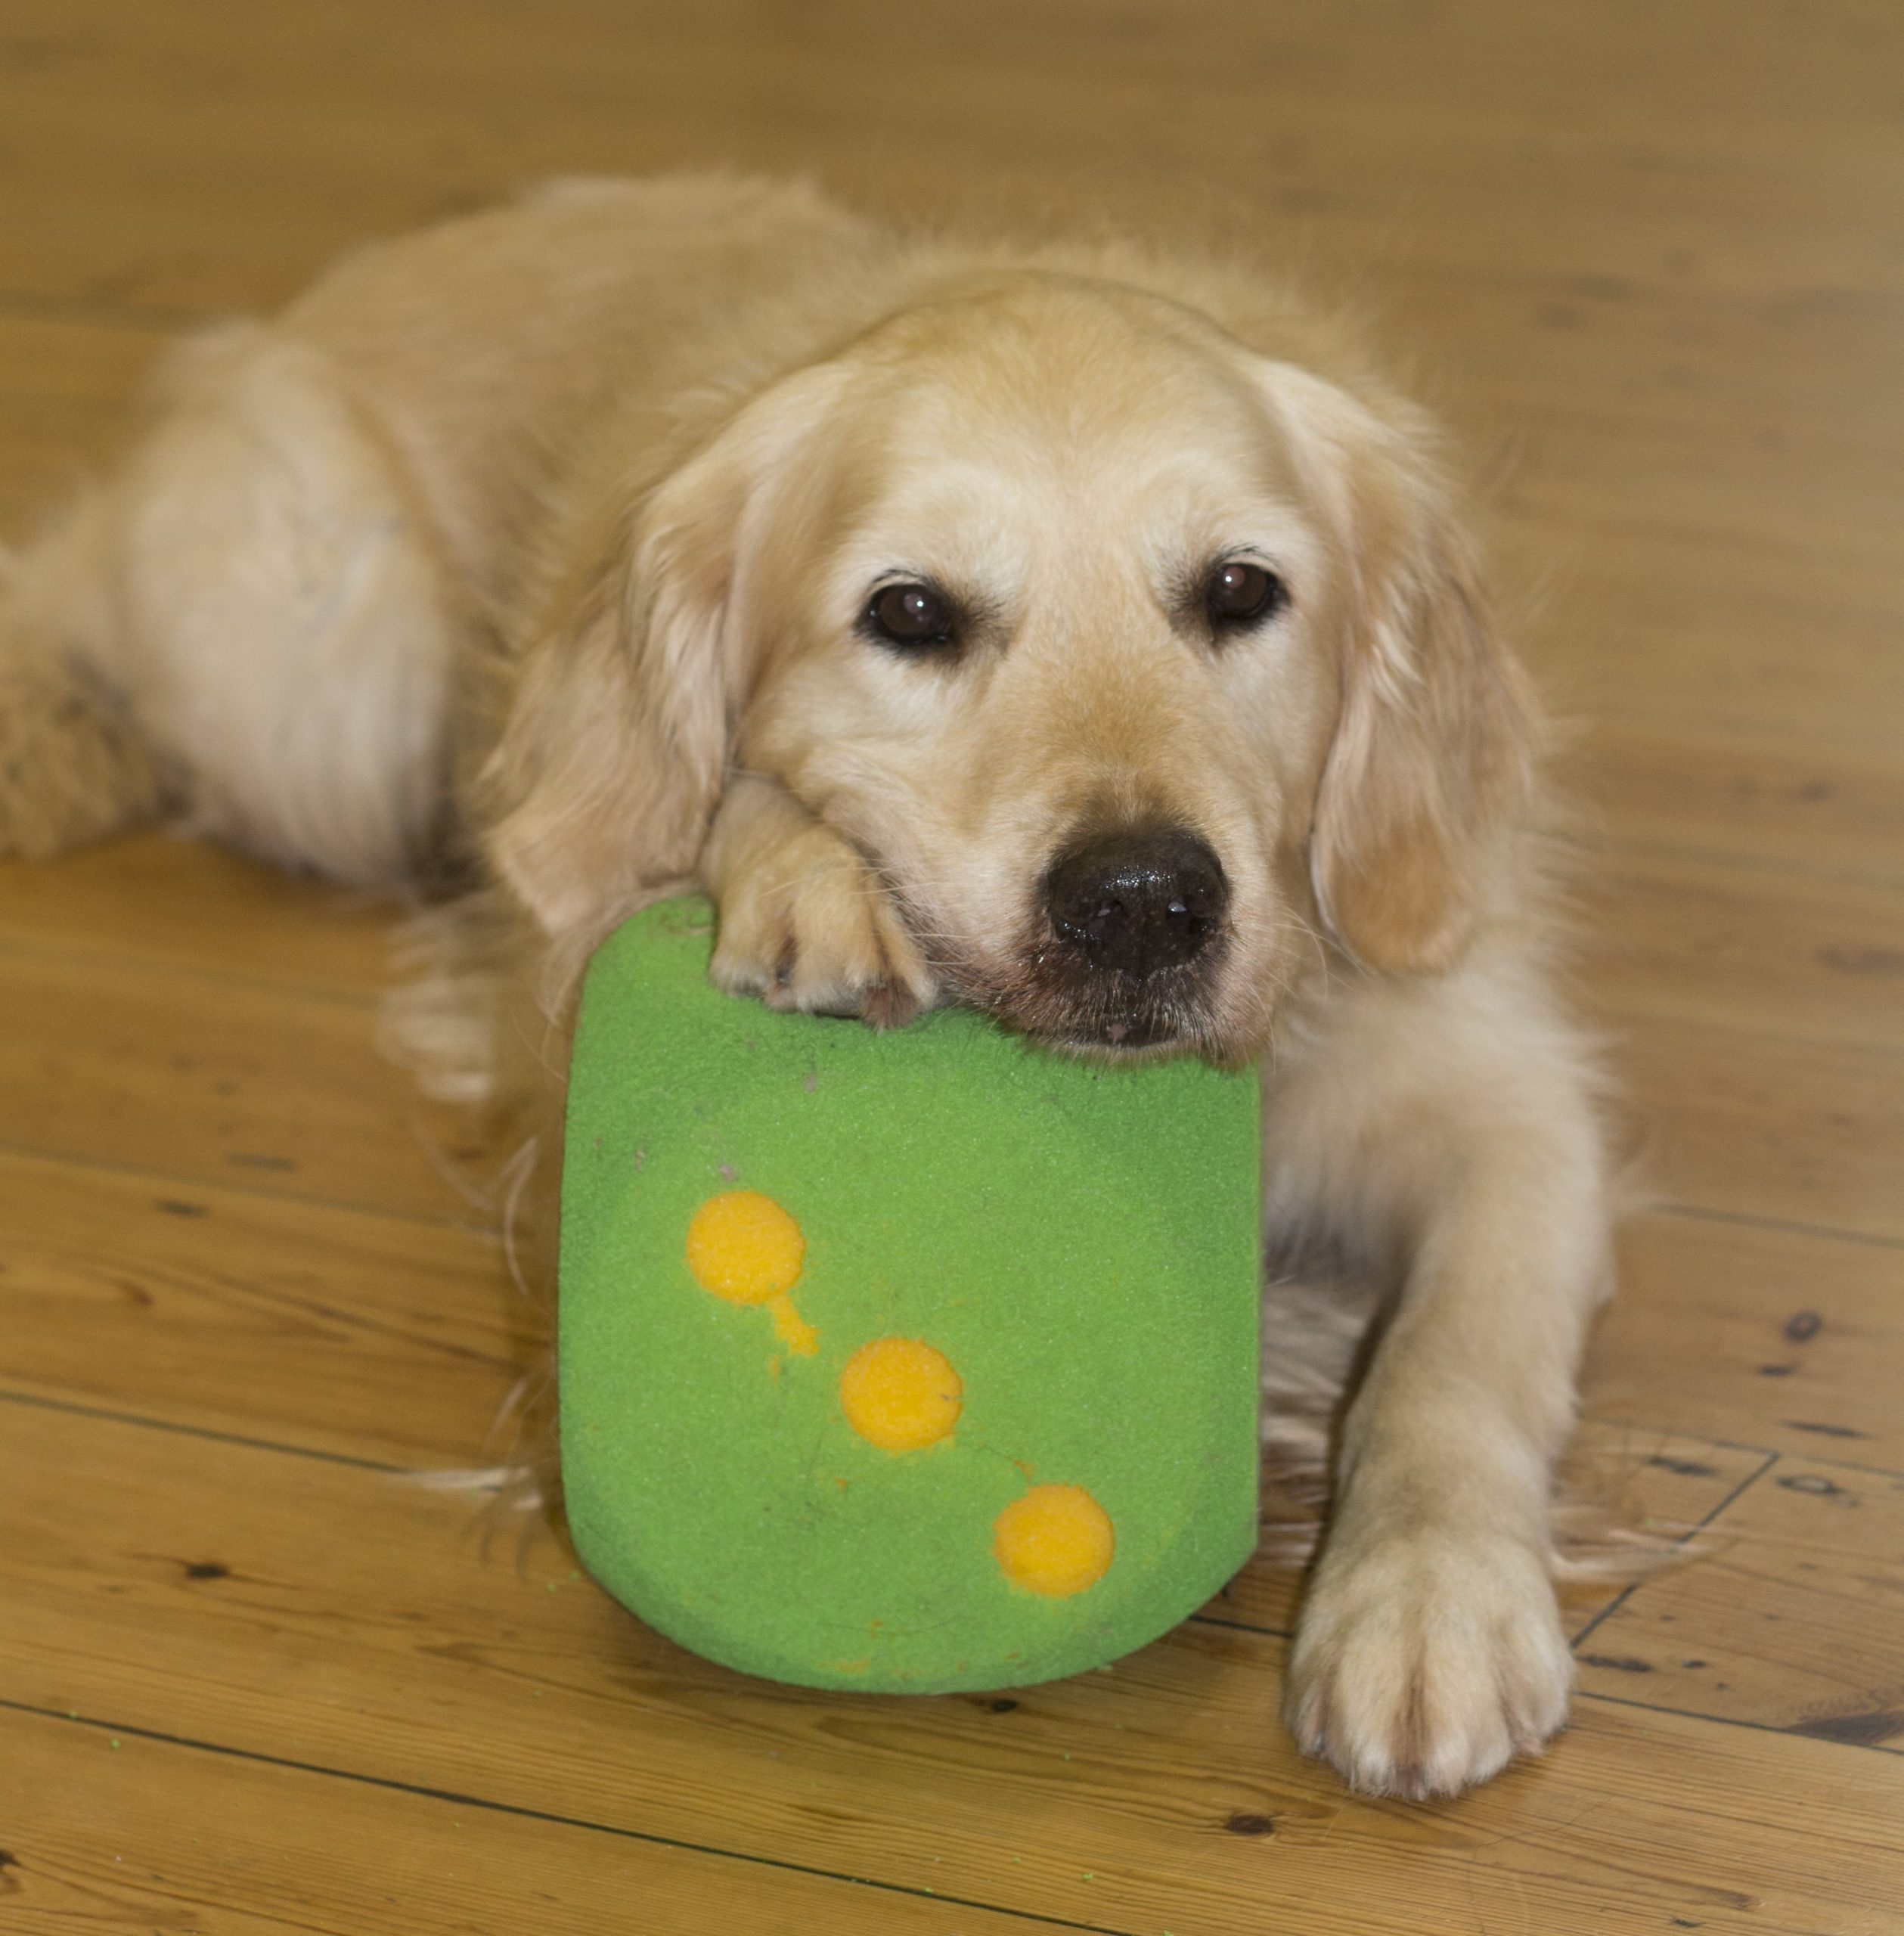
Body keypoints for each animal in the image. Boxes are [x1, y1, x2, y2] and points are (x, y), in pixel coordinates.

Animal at [0, 178, 1610, 1796]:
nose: (1143, 904)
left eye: (1237, 590)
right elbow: (687, 813)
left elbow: (1452, 1363)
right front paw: (808, 880)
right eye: (908, 613)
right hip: (332, 691)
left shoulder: (1500, 1092)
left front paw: (1428, 1605)